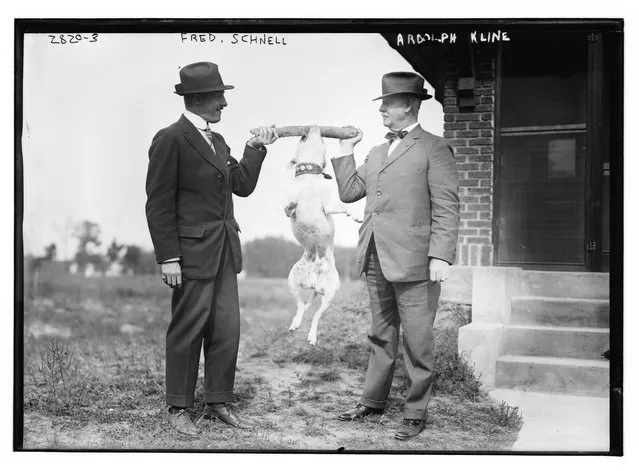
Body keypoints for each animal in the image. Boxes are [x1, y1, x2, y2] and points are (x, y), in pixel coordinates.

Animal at [284, 126, 360, 346]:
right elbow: (288, 209)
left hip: (329, 295)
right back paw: (296, 323)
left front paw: (356, 215)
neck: (308, 177)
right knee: (301, 306)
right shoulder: (291, 205)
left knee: (316, 316)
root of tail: (314, 284)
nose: (313, 126)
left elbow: (342, 206)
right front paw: (291, 206)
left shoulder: (328, 204)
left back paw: (312, 335)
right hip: (293, 281)